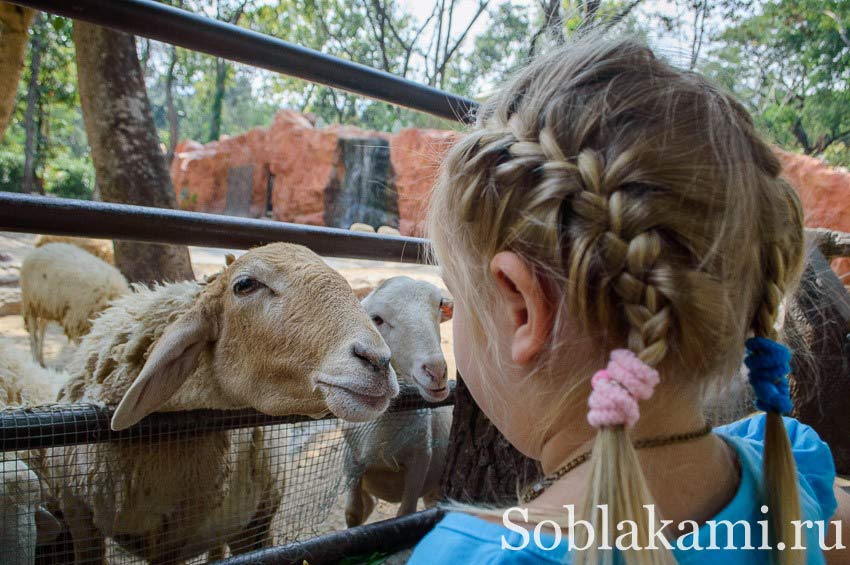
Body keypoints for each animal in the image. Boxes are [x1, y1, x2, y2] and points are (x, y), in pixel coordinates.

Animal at [342, 276, 454, 528]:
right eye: (377, 319)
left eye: (438, 306)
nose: (436, 372)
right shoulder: (352, 461)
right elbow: (353, 513)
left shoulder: (420, 460)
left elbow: (406, 513)